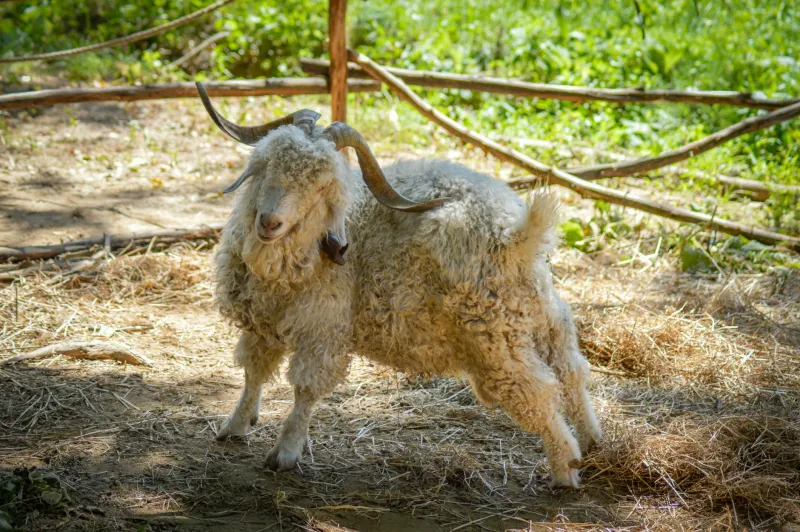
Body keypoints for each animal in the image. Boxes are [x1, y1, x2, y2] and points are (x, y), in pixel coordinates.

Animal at [197, 83, 602, 488]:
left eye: (322, 186)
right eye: (266, 166)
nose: (269, 222)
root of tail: (515, 233)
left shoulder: (323, 327)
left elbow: (306, 387)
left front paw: (286, 451)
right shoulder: (263, 320)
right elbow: (254, 372)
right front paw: (236, 425)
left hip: (494, 335)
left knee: (538, 390)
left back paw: (565, 470)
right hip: (537, 311)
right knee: (570, 368)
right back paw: (593, 441)